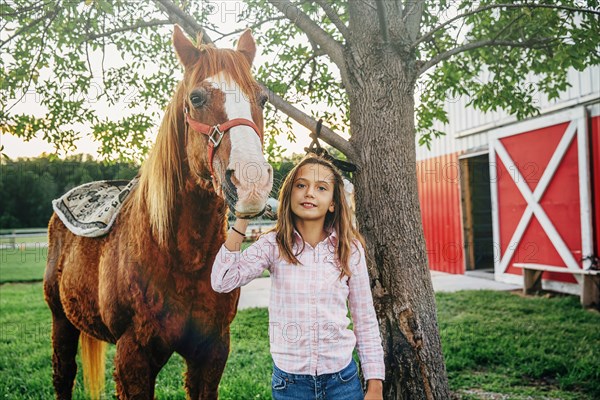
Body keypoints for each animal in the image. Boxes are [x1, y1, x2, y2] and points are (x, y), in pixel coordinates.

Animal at [43, 25, 274, 400]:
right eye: (196, 98)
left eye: (263, 98)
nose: (251, 180)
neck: (180, 256)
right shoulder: (133, 356)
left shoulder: (212, 352)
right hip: (60, 322)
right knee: (63, 376)